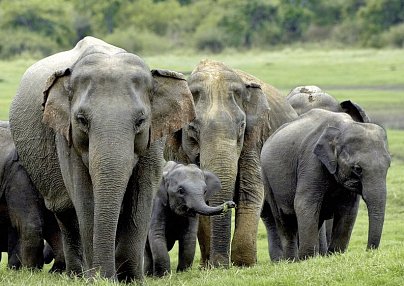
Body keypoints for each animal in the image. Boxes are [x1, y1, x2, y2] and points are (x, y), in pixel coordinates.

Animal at [7, 36, 194, 280]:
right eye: (81, 120)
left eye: (141, 121)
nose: (105, 276)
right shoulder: (66, 136)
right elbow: (84, 196)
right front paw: (98, 278)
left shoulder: (155, 136)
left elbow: (141, 194)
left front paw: (131, 279)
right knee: (66, 212)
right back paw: (77, 274)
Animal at [166, 59, 298, 268]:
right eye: (193, 129)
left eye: (242, 126)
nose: (229, 203)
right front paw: (208, 267)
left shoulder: (255, 139)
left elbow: (250, 188)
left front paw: (243, 264)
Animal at [260, 109, 390, 262]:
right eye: (357, 169)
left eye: (388, 165)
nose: (369, 251)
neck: (343, 126)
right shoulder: (311, 161)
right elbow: (304, 203)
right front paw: (307, 259)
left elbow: (349, 209)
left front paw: (335, 254)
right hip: (267, 178)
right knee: (283, 219)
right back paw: (291, 260)